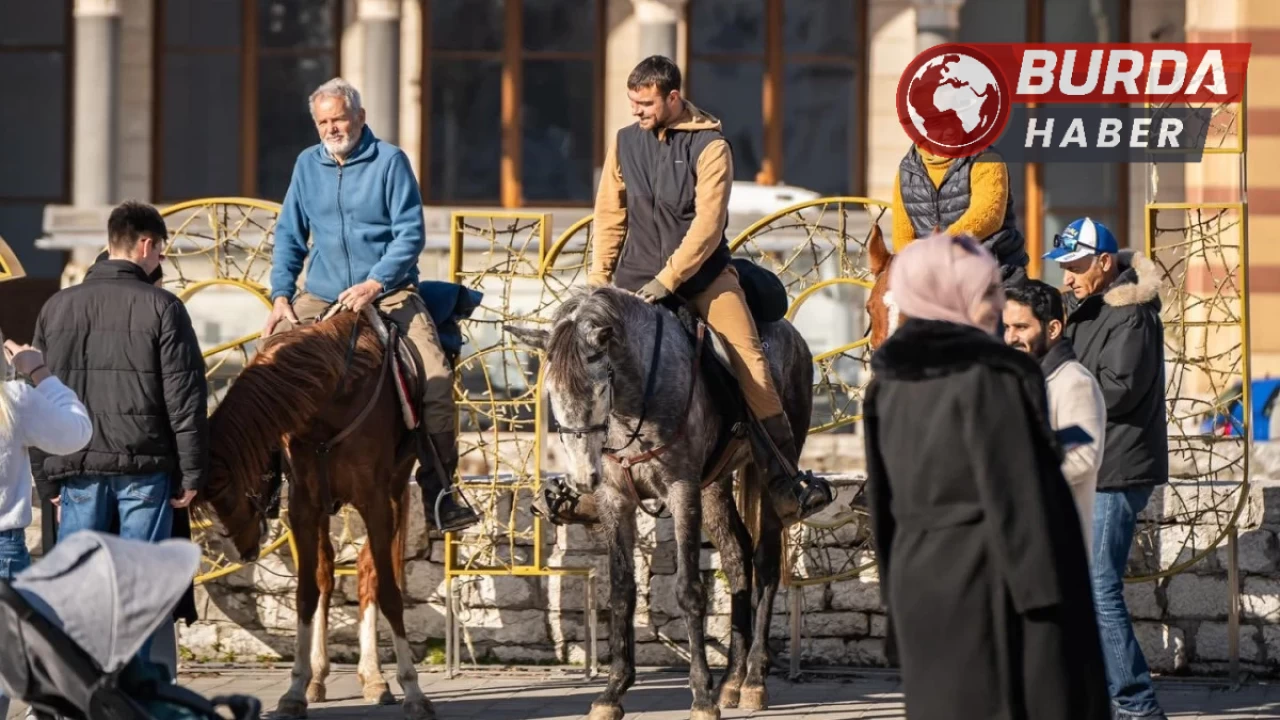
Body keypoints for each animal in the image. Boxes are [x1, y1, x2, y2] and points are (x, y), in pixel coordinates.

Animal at [197, 308, 437, 717]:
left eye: (224, 494)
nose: (243, 551)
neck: (333, 399)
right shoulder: (305, 506)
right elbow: (307, 592)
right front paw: (296, 687)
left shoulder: (375, 501)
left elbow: (390, 593)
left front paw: (414, 690)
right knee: (327, 572)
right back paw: (320, 675)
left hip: (395, 489)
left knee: (370, 570)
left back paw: (374, 676)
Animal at [506, 285, 814, 717]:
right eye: (552, 392)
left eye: (600, 387)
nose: (583, 478)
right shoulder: (615, 499)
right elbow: (621, 591)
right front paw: (612, 691)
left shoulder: (682, 490)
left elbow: (689, 590)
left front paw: (701, 696)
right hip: (714, 485)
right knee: (736, 559)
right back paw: (731, 680)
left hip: (766, 473)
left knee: (766, 564)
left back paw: (753, 679)